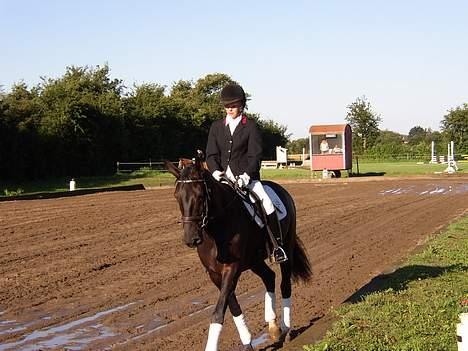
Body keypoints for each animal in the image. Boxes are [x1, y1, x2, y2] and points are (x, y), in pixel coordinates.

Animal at [165, 155, 310, 351]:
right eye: (177, 196)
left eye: (200, 196)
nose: (190, 239)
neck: (216, 230)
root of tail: (281, 189)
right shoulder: (215, 274)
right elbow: (232, 306)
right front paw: (247, 342)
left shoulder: (231, 268)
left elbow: (219, 311)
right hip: (254, 260)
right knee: (269, 277)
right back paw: (273, 327)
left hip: (285, 249)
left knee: (285, 285)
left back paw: (285, 329)